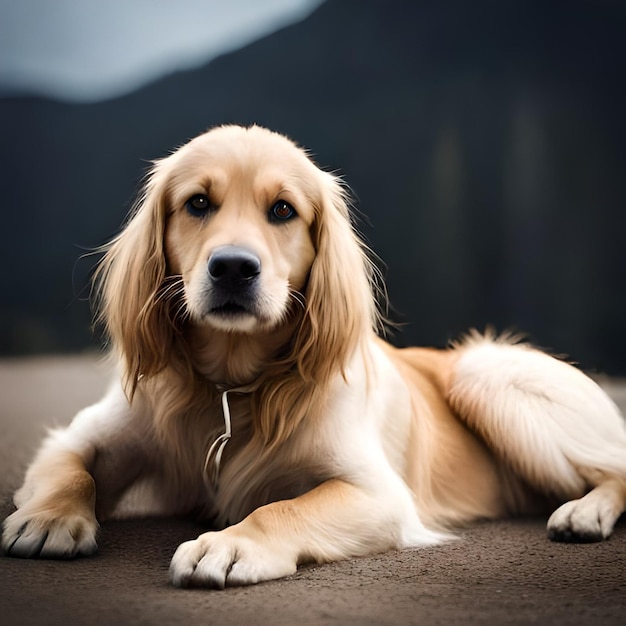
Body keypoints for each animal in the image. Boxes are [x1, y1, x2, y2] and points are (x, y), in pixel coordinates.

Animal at [1, 125, 624, 584]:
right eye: (197, 203)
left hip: (484, 370)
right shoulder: (89, 432)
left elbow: (282, 507)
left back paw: (584, 511)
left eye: (282, 210)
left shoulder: (379, 494)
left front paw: (230, 544)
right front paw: (49, 516)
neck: (230, 387)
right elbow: (69, 466)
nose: (233, 267)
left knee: (615, 466)